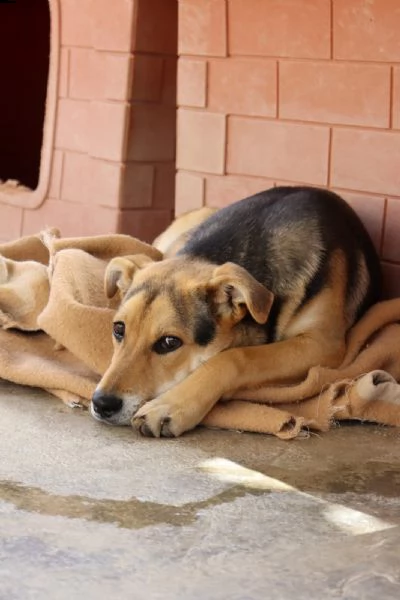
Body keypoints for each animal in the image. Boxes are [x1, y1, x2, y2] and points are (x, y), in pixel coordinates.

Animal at [90, 186, 382, 436]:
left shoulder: (321, 344)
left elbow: (237, 357)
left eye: (169, 343)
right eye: (119, 329)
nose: (102, 403)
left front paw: (170, 406)